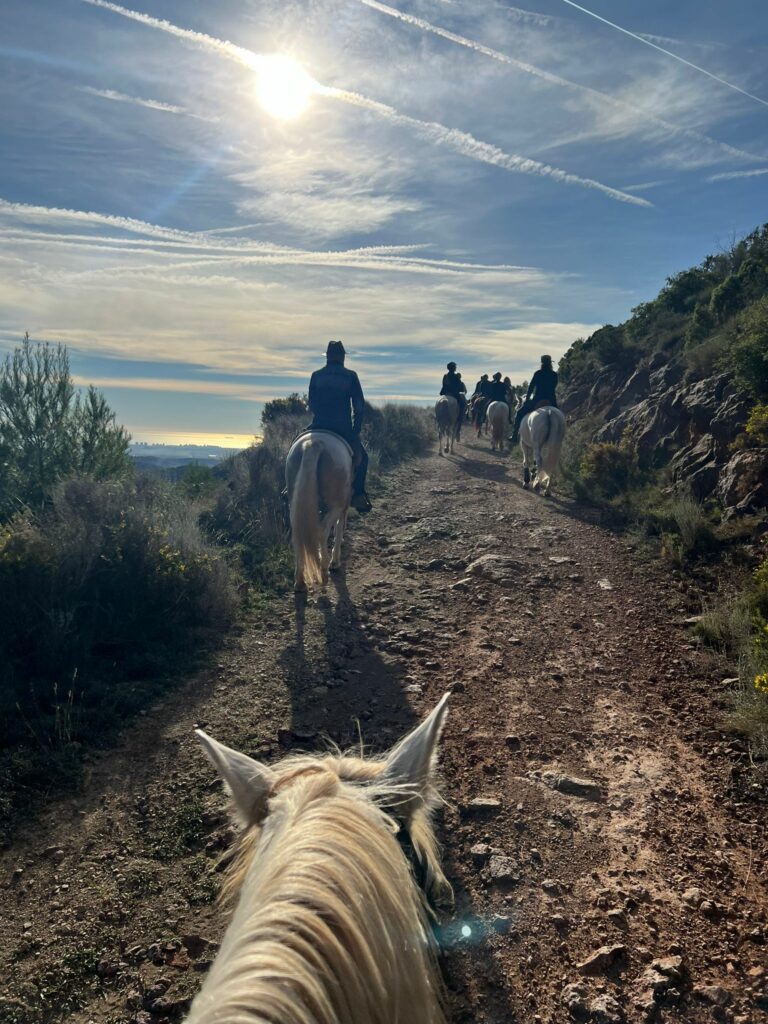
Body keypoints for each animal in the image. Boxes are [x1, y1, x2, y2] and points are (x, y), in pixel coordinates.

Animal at [284, 430, 354, 593]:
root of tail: (314, 445)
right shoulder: (343, 504)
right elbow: (339, 528)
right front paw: (335, 561)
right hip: (336, 504)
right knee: (322, 530)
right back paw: (324, 570)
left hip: (294, 504)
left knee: (298, 535)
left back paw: (300, 582)